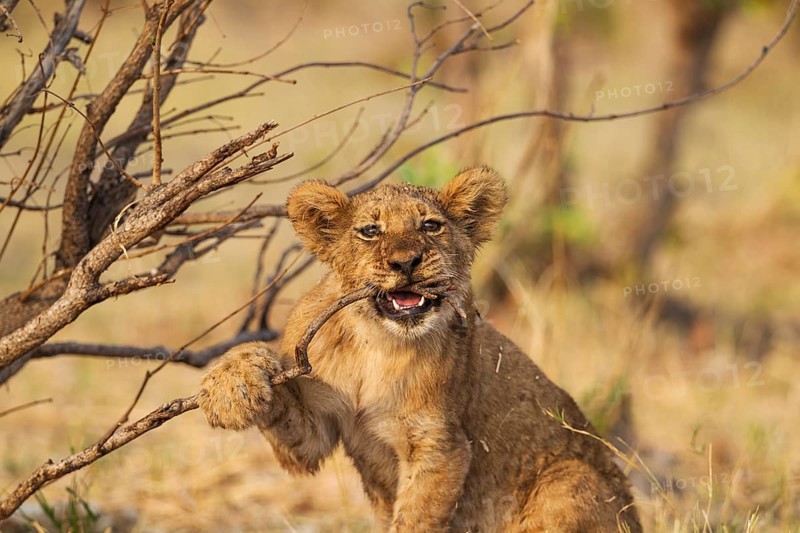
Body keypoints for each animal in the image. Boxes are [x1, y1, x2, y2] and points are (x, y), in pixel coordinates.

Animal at [199, 166, 642, 532]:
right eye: (370, 231)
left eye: (431, 226)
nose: (406, 262)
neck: (376, 344)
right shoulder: (316, 430)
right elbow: (286, 415)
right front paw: (230, 387)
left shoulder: (441, 446)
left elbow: (415, 517)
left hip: (570, 479)